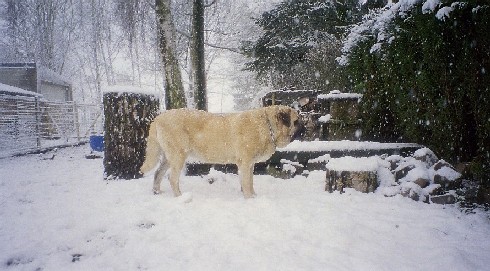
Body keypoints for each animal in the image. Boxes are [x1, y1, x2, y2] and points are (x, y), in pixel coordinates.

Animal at [140, 105, 302, 199]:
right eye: (296, 121)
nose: (305, 127)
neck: (267, 126)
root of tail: (158, 118)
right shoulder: (245, 163)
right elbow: (247, 183)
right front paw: (249, 199)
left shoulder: (249, 165)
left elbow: (249, 181)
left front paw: (253, 196)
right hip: (178, 156)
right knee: (172, 178)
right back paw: (180, 197)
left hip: (168, 158)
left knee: (158, 174)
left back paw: (157, 192)